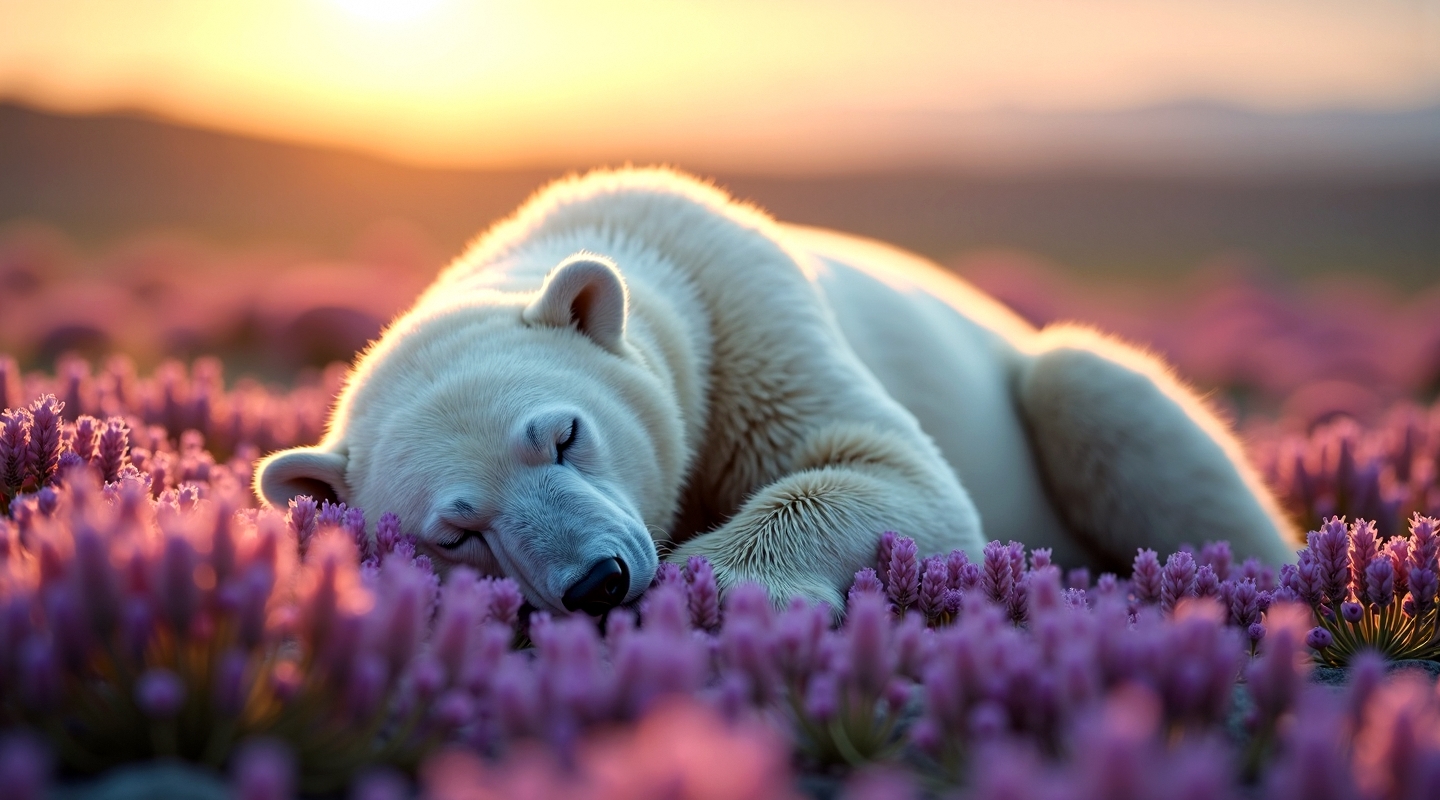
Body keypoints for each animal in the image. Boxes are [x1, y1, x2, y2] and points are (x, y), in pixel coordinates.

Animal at [254, 167, 1299, 615]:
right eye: (456, 533)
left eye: (563, 435)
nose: (598, 582)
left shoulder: (753, 316)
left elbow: (890, 473)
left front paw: (717, 582)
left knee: (1098, 393)